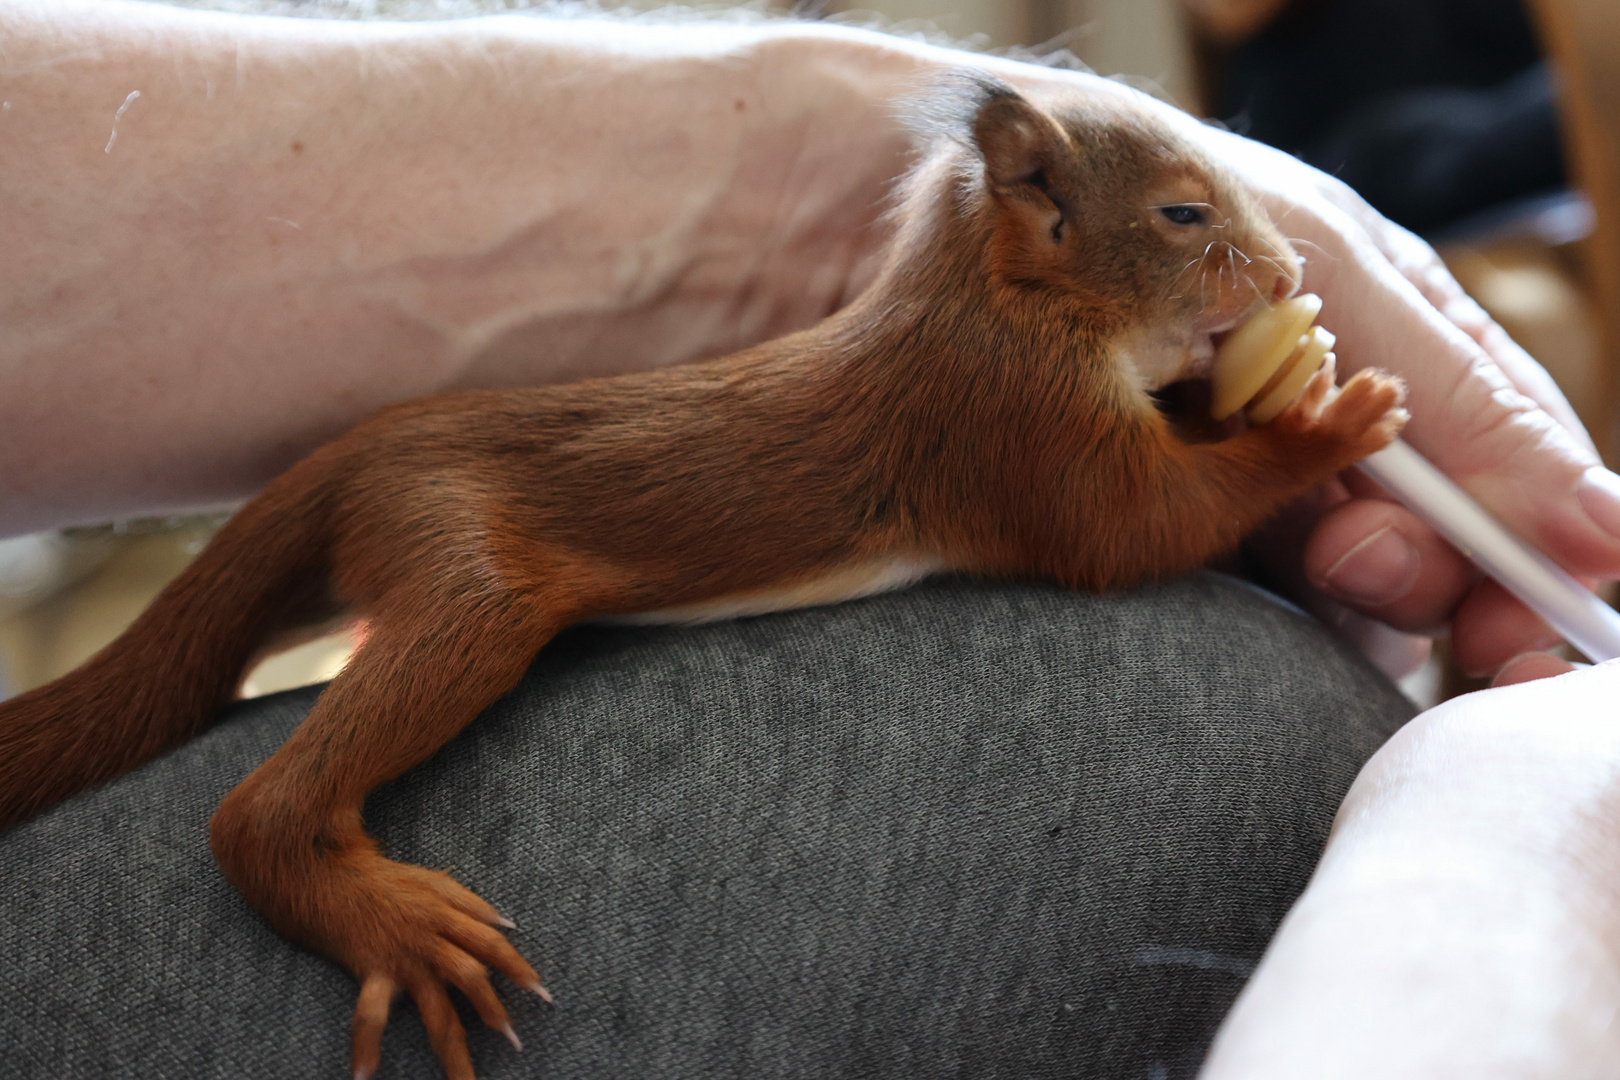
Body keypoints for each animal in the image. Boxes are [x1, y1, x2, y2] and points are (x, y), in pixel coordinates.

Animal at [0, 78, 1406, 1080]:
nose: (1291, 280)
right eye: (1184, 214)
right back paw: (389, 922)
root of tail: (352, 462)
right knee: (261, 812)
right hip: (458, 570)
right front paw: (1328, 420)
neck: (994, 297)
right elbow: (1142, 526)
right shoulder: (1017, 425)